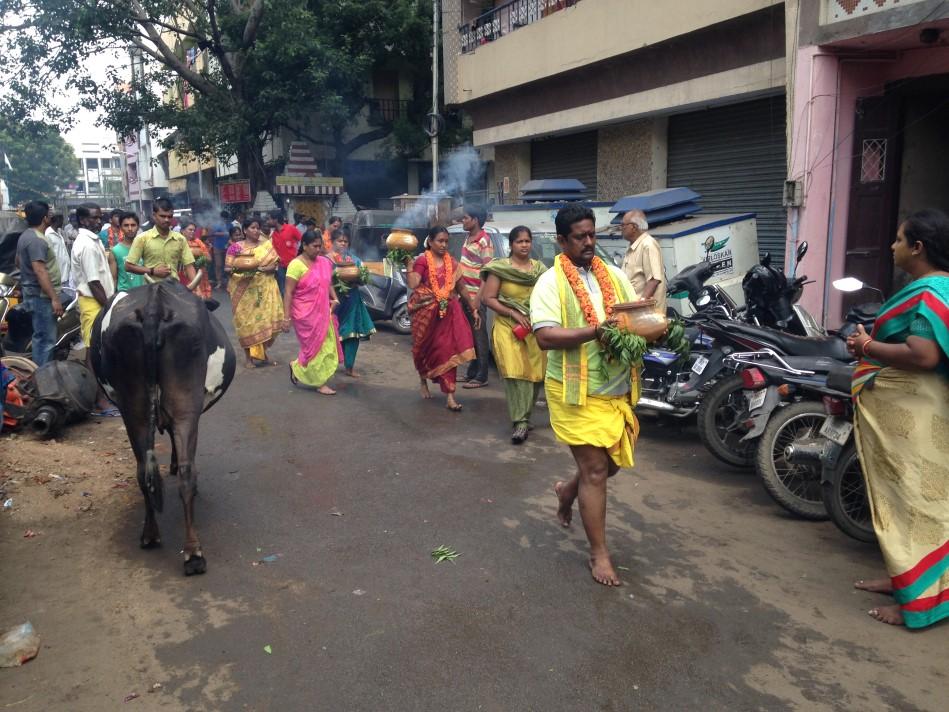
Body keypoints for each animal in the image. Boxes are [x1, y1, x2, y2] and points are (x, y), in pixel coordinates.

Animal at [90, 280, 236, 576]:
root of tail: (153, 305)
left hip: (133, 411)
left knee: (144, 471)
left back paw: (151, 535)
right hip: (185, 407)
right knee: (187, 473)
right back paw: (193, 553)